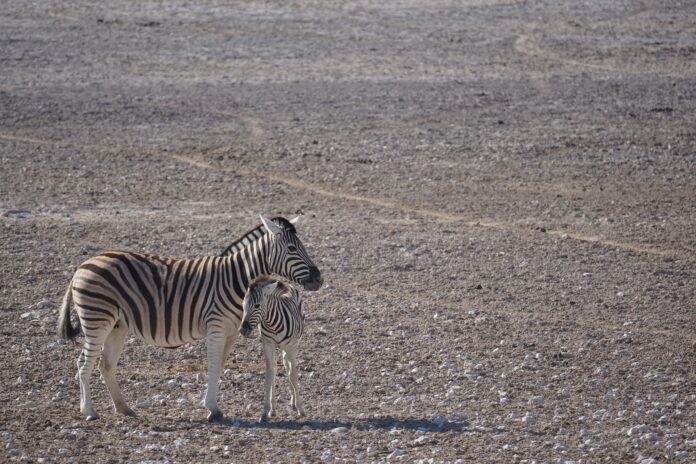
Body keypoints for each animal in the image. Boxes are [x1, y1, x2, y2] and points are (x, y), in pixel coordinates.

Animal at [239, 276, 304, 424]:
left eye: (257, 306)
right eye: (243, 306)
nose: (243, 330)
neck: (272, 324)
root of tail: (284, 283)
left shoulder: (291, 346)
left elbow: (293, 374)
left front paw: (300, 408)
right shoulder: (268, 344)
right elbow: (270, 374)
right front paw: (267, 410)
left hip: (292, 344)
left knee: (289, 368)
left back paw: (293, 402)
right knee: (282, 367)